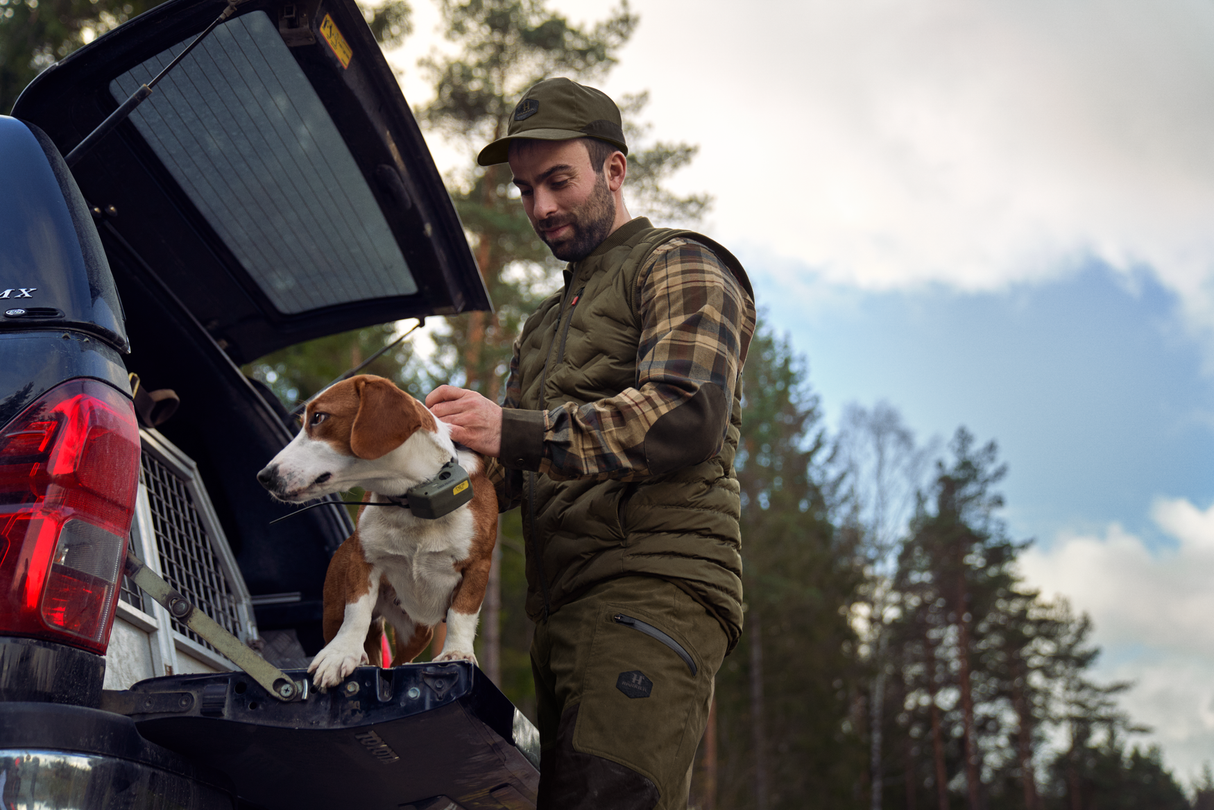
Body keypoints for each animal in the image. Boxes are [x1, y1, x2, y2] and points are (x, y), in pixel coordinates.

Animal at [257, 376, 497, 689]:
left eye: (319, 417)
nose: (264, 476)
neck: (409, 501)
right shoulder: (363, 560)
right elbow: (356, 612)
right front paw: (340, 654)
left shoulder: (479, 566)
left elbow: (462, 613)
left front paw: (456, 652)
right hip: (336, 610)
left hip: (417, 631)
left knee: (397, 663)